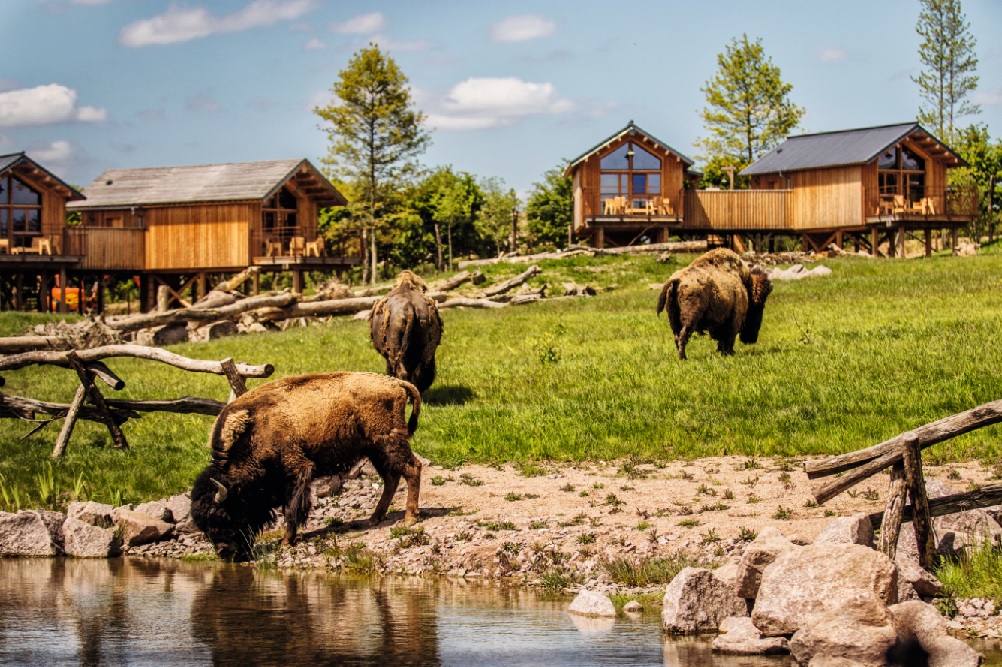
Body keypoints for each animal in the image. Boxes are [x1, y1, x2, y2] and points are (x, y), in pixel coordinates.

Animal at [191, 370, 422, 556]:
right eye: (202, 525)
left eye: (223, 515)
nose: (224, 552)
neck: (252, 433)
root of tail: (395, 382)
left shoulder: (297, 471)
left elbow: (291, 509)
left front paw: (286, 541)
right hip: (375, 450)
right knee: (392, 478)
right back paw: (375, 518)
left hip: (388, 443)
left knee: (412, 469)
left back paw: (409, 518)